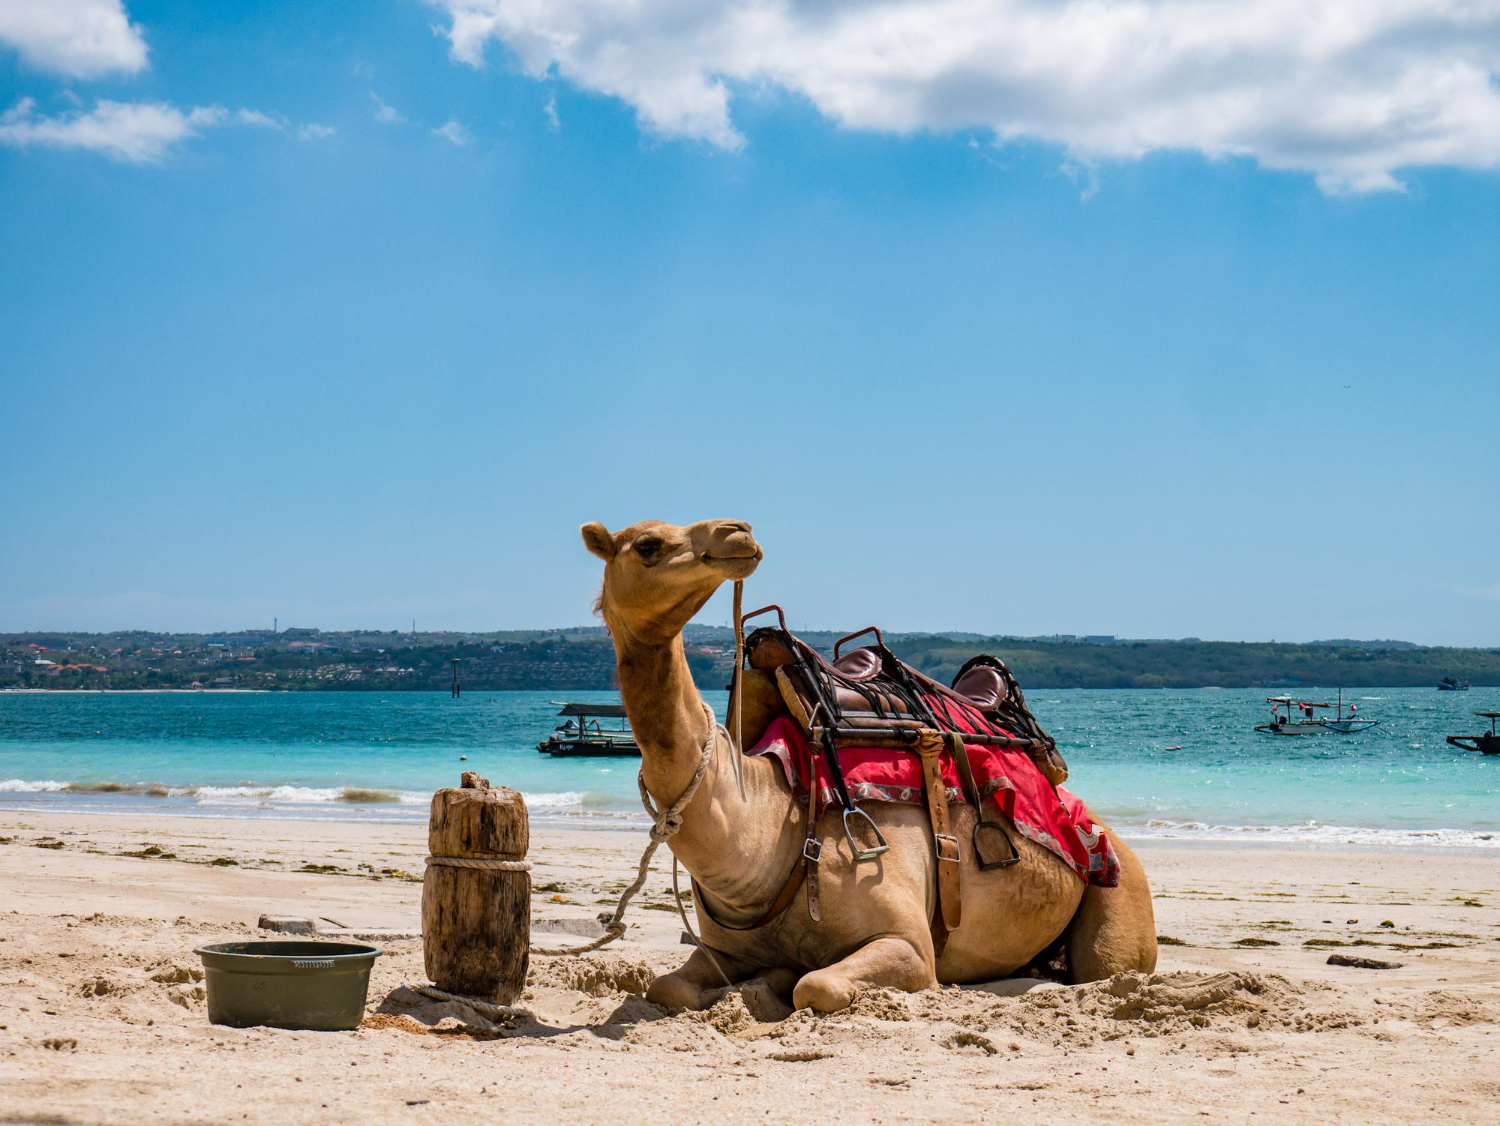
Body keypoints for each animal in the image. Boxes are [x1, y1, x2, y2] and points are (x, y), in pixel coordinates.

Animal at [579, 515, 1152, 1007]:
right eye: (647, 545)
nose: (737, 532)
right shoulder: (722, 948)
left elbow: (817, 986)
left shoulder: (909, 946)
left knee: (1104, 967)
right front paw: (769, 978)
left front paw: (786, 980)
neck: (774, 829)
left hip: (1119, 891)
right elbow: (668, 987)